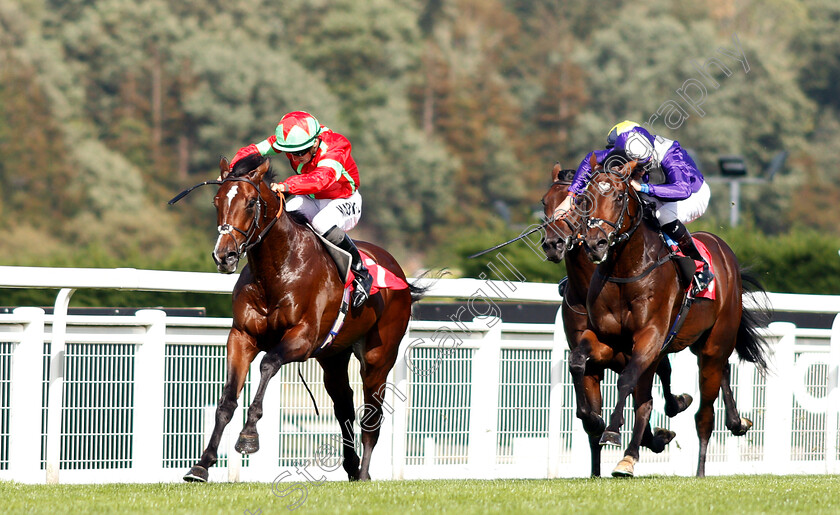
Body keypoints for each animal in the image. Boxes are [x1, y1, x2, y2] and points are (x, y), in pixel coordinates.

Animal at [180, 155, 424, 482]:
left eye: (251, 202)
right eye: (216, 200)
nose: (225, 256)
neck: (277, 271)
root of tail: (399, 272)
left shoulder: (302, 338)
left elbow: (268, 364)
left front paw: (248, 436)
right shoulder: (242, 336)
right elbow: (227, 399)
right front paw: (202, 464)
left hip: (378, 357)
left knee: (371, 415)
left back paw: (363, 473)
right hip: (333, 357)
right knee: (344, 405)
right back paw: (351, 465)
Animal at [540, 165, 692, 480]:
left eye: (579, 202)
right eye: (544, 202)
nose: (552, 243)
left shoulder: (640, 346)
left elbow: (638, 395)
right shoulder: (592, 352)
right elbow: (585, 400)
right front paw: (598, 427)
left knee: (660, 379)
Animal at [576, 155, 768, 478]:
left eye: (619, 196)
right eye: (585, 198)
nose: (595, 244)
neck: (626, 270)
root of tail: (723, 250)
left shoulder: (650, 338)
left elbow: (627, 382)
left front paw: (612, 431)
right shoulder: (606, 338)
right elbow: (578, 361)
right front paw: (596, 422)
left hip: (715, 344)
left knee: (705, 412)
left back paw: (699, 469)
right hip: (698, 343)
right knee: (716, 374)